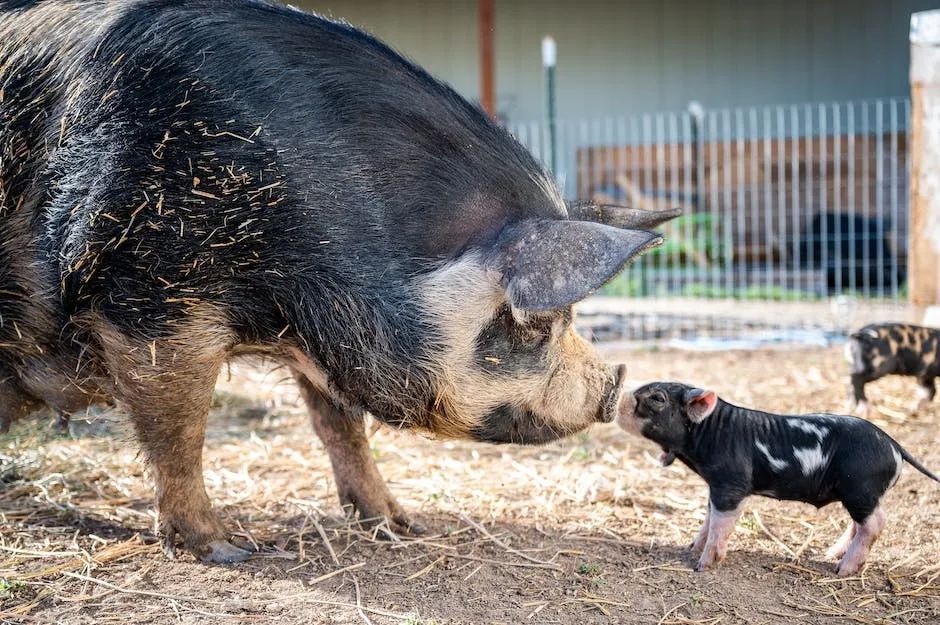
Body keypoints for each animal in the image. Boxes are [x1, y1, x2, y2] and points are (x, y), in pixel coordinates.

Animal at [0, 0, 676, 564]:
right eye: (533, 324)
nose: (614, 385)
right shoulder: (148, 296)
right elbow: (179, 431)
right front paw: (229, 551)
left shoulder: (329, 337)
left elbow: (341, 427)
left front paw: (399, 524)